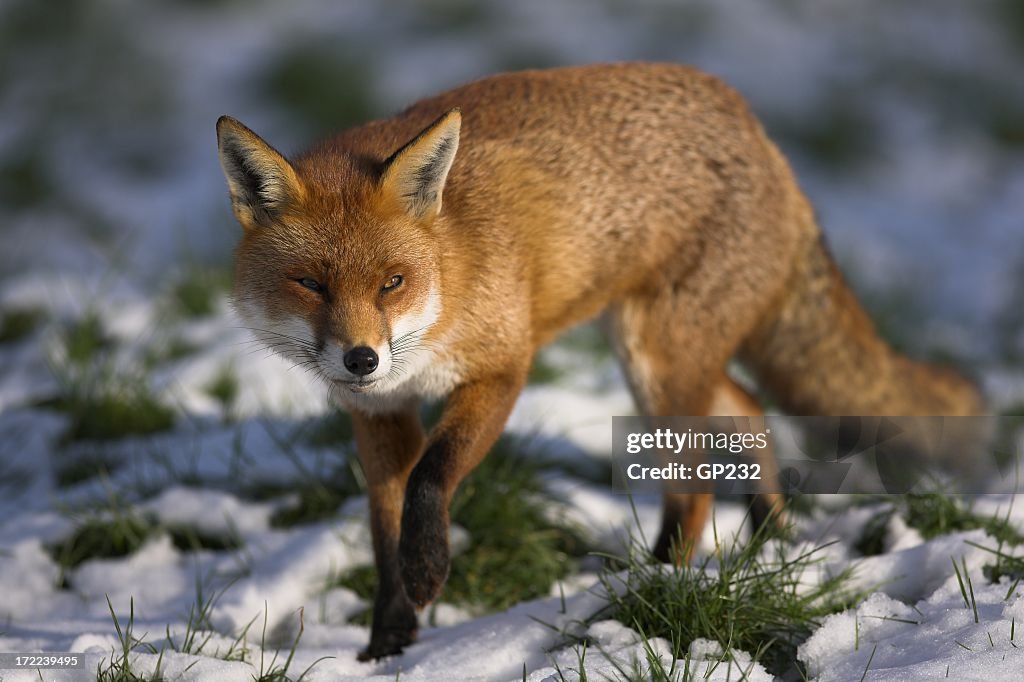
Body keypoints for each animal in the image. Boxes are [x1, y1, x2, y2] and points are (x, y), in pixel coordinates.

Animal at [216, 62, 982, 660]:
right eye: (311, 284)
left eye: (391, 283)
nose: (361, 359)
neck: (451, 269)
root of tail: (761, 134)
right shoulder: (379, 414)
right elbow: (384, 531)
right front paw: (386, 643)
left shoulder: (502, 369)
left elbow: (434, 476)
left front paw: (429, 572)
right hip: (663, 361)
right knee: (749, 409)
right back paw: (771, 538)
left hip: (658, 365)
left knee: (696, 482)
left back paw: (659, 582)